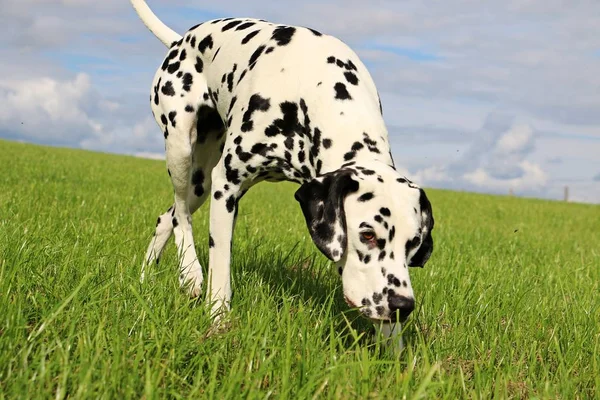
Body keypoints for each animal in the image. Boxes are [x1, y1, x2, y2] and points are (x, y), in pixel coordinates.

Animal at [131, 0, 434, 350]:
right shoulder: (227, 185)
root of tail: (181, 41)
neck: (313, 87)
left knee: (167, 218)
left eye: (414, 242)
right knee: (181, 213)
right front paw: (218, 319)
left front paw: (394, 352)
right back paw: (191, 273)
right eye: (368, 234)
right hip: (183, 155)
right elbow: (221, 266)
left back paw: (146, 276)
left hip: (200, 184)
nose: (403, 305)